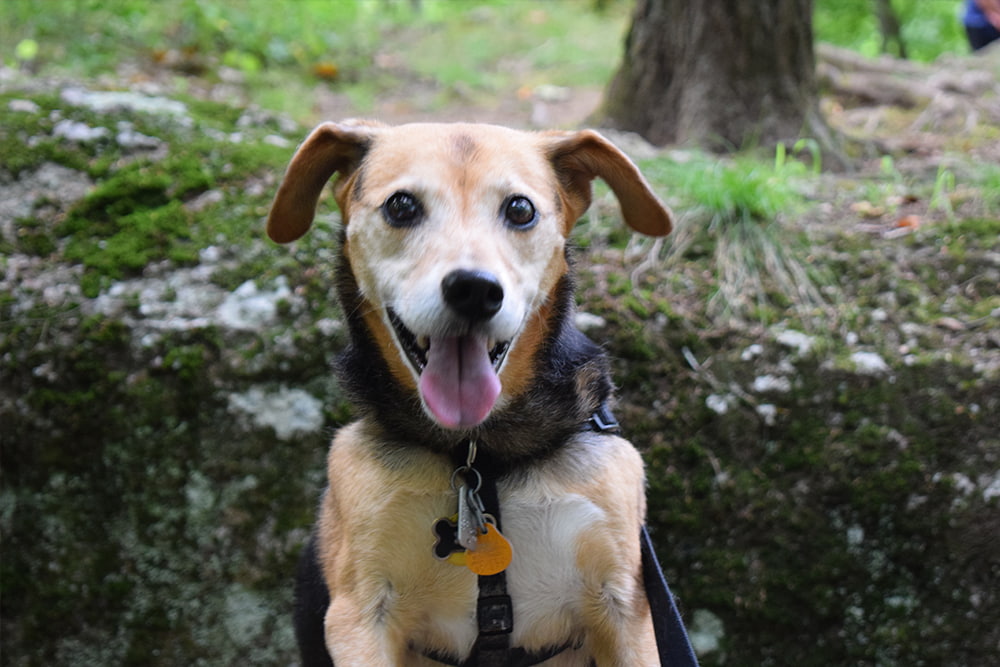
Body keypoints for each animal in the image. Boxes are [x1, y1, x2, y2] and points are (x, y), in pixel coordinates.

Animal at [266, 121, 672, 667]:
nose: (475, 290)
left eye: (520, 209)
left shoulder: (625, 607)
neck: (480, 453)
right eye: (401, 205)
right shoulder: (359, 615)